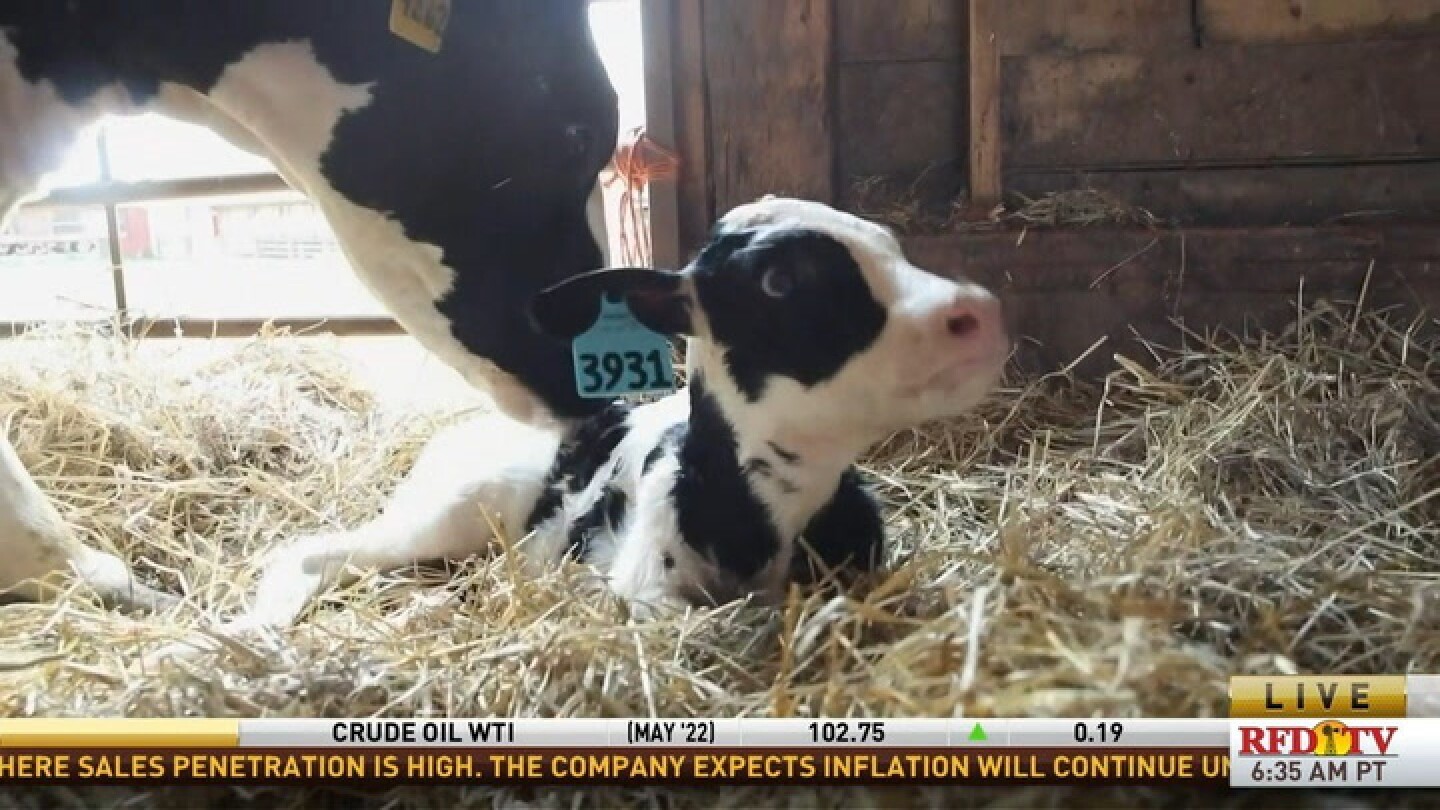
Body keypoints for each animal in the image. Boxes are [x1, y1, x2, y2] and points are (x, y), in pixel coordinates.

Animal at [216, 197, 1010, 634]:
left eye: (890, 246)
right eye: (780, 281)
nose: (978, 312)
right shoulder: (642, 591)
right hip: (448, 508)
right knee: (311, 552)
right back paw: (255, 630)